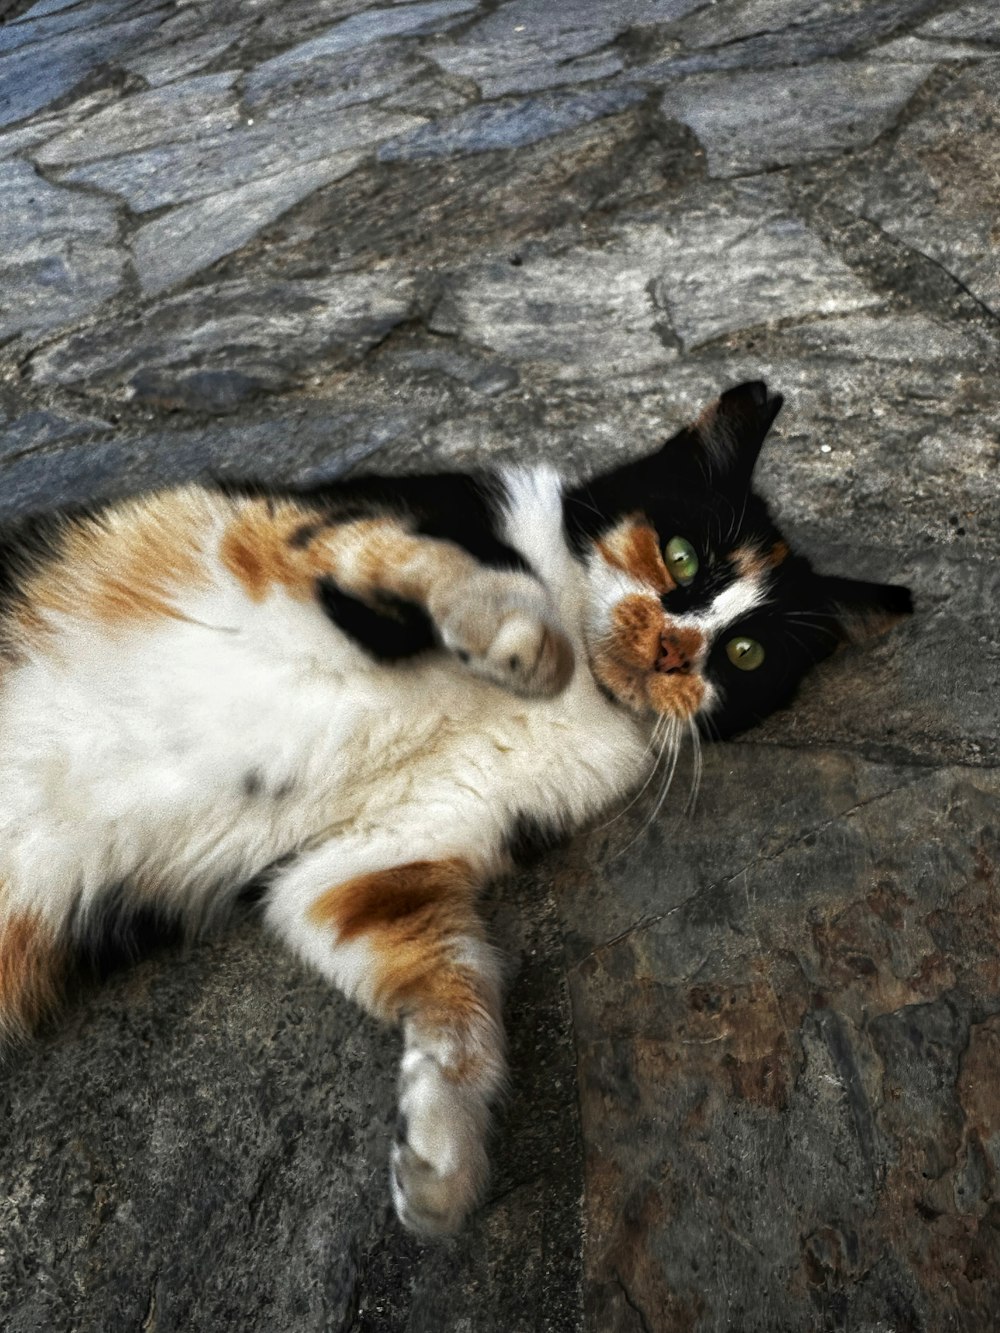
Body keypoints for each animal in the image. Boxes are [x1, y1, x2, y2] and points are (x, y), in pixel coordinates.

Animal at [0, 381, 912, 1231]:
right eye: (683, 555)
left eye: (745, 653)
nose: (671, 647)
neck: (588, 689)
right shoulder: (301, 533)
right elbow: (430, 559)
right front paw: (520, 637)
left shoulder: (372, 852)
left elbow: (455, 979)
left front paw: (442, 1156)